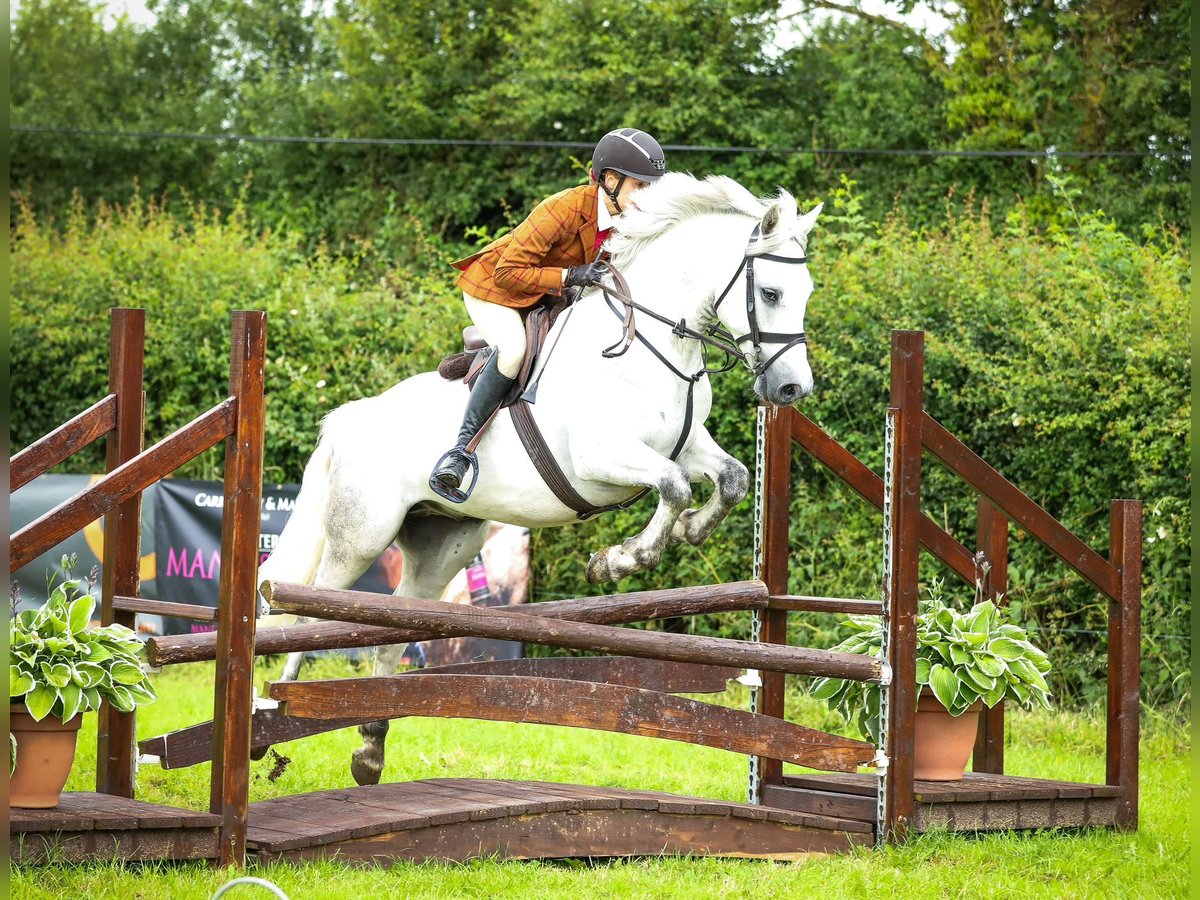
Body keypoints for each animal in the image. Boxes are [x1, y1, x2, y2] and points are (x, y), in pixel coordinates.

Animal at [262, 172, 820, 787]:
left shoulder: (687, 442)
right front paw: (619, 560)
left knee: (393, 629)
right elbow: (673, 486)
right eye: (771, 293)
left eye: (806, 291)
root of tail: (348, 419)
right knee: (307, 614)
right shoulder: (599, 457)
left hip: (442, 546)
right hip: (359, 538)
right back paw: (272, 719)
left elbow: (733, 478)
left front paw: (688, 532)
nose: (793, 390)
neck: (649, 346)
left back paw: (369, 747)